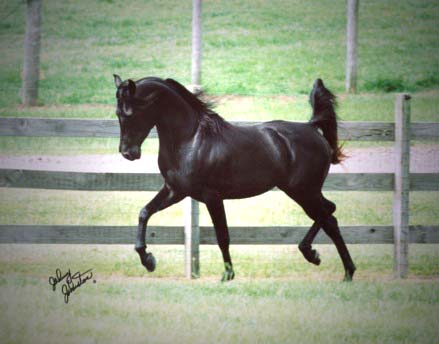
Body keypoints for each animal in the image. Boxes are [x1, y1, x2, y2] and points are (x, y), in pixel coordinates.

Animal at [113, 74, 358, 280]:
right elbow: (144, 212)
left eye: (130, 113)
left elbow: (222, 236)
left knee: (329, 218)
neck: (190, 140)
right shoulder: (176, 191)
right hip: (304, 191)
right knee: (330, 214)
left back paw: (333, 265)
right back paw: (328, 262)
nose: (128, 153)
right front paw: (148, 260)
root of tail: (311, 127)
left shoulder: (212, 197)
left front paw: (227, 275)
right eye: (117, 114)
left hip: (304, 191)